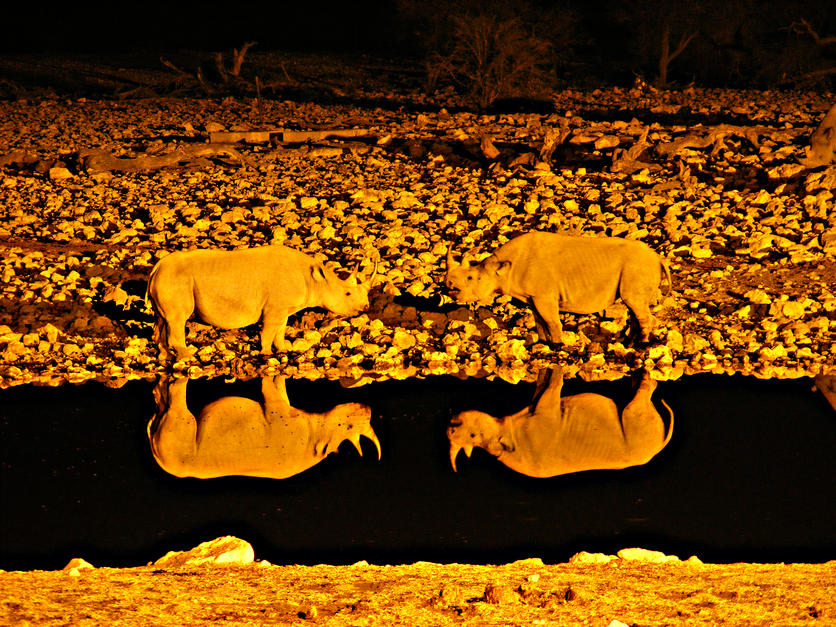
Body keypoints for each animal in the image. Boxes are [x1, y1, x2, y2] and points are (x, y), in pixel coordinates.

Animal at [146, 244, 374, 359]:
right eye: (347, 294)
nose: (365, 307)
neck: (316, 280)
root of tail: (157, 267)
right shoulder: (275, 308)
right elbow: (269, 330)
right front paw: (266, 353)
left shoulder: (284, 308)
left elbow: (281, 329)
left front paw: (284, 349)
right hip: (177, 280)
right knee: (178, 319)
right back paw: (189, 358)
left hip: (168, 278)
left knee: (162, 320)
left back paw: (165, 357)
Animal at [147, 374, 380, 479]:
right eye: (349, 425)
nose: (367, 408)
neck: (318, 434)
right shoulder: (278, 410)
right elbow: (275, 386)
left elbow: (277, 388)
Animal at [446, 231, 670, 343]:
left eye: (472, 278)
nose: (449, 285)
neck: (501, 269)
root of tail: (658, 258)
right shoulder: (532, 297)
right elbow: (539, 321)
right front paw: (543, 343)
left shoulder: (543, 295)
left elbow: (552, 321)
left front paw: (558, 345)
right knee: (633, 305)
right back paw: (629, 342)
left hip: (637, 266)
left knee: (634, 302)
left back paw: (642, 345)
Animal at [448, 368, 673, 478]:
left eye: (472, 435)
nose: (451, 427)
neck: (503, 434)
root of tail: (659, 445)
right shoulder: (543, 419)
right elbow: (552, 389)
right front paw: (556, 370)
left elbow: (541, 390)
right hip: (639, 440)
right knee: (632, 411)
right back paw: (646, 379)